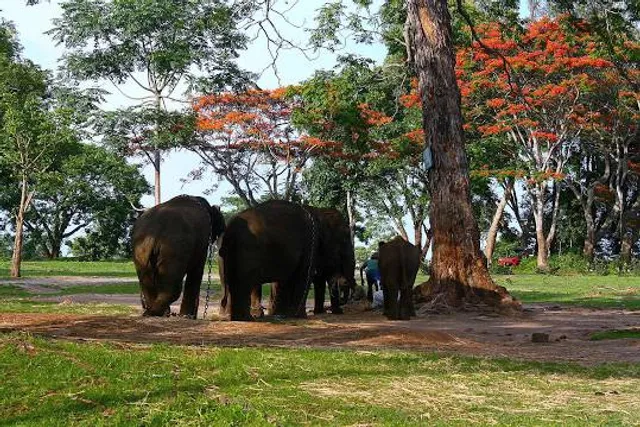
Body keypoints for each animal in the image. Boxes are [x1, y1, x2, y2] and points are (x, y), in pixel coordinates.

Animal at [219, 200, 356, 321]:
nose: (341, 310)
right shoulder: (310, 243)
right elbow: (305, 275)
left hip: (224, 253)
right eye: (345, 238)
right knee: (247, 281)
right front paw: (299, 316)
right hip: (248, 251)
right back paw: (246, 318)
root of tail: (231, 227)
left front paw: (282, 314)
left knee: (228, 282)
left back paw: (228, 316)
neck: (318, 211)